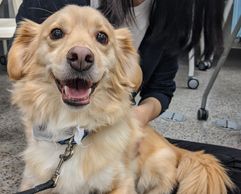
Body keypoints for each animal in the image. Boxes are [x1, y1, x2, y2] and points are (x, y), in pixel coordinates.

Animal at [8, 5, 234, 193]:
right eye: (56, 33)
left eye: (102, 37)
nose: (81, 57)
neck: (73, 132)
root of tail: (174, 148)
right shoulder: (34, 182)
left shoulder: (121, 182)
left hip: (154, 169)